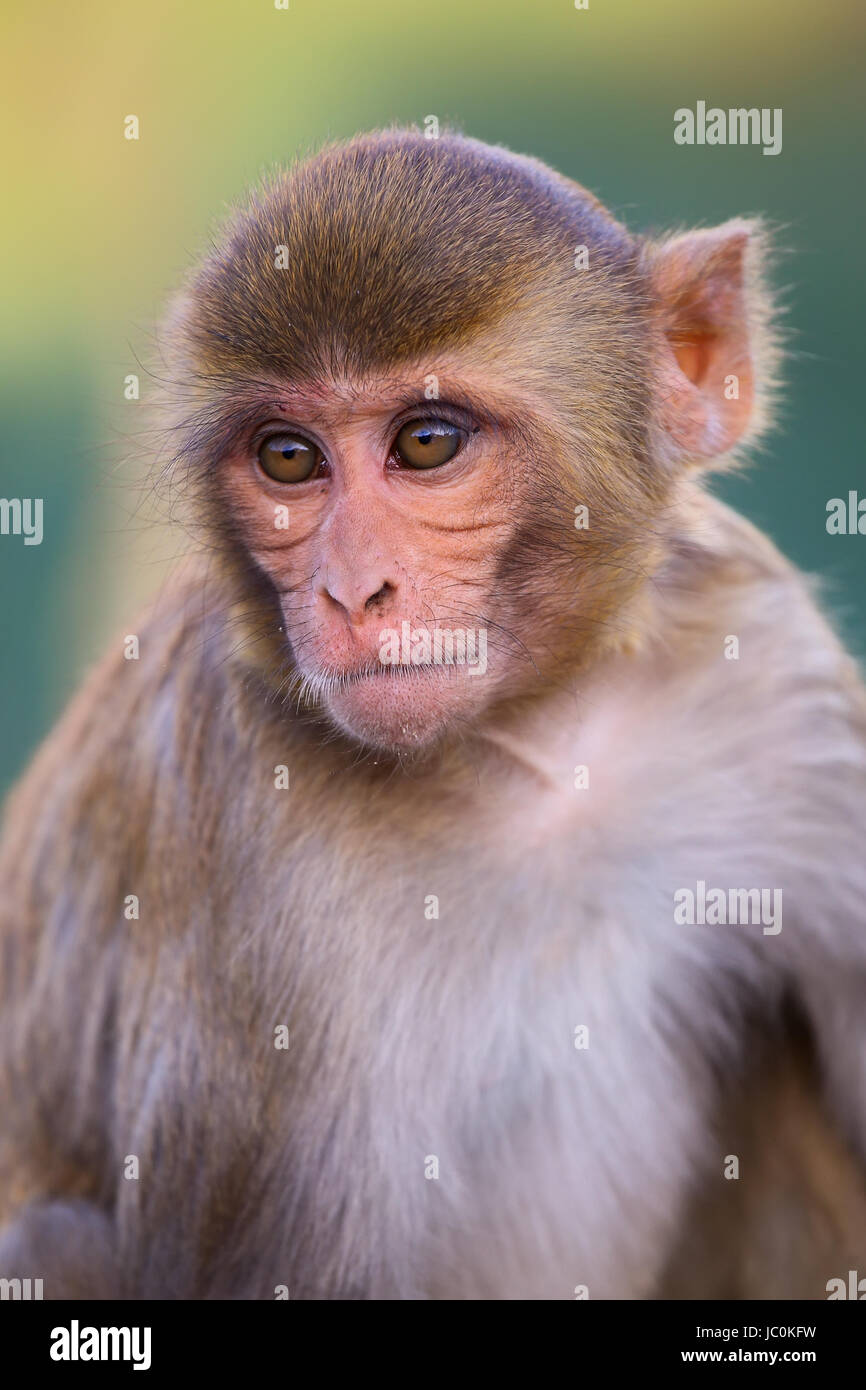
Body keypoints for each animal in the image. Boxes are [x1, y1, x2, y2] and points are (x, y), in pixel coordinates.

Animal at [0, 127, 865, 1301]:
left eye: (425, 442)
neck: (532, 745)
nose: (349, 591)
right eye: (287, 457)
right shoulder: (238, 819)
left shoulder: (774, 675)